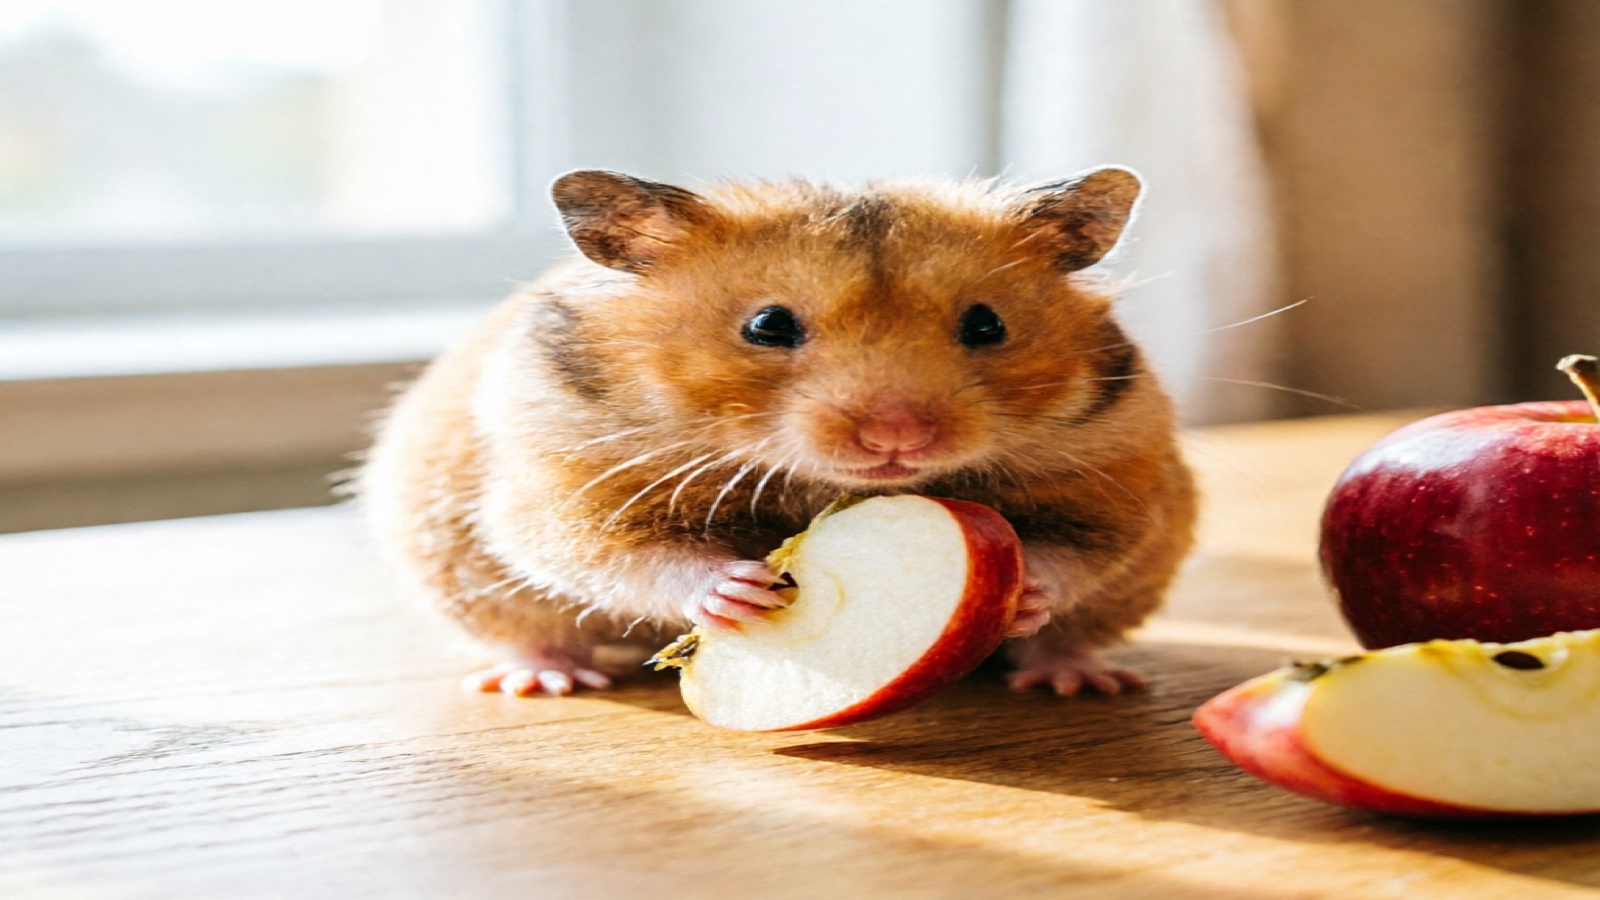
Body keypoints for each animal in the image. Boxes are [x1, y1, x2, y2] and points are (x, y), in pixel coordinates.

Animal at [360, 168, 1196, 698]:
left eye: (987, 325)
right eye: (767, 325)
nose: (897, 437)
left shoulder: (1114, 472)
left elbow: (1076, 550)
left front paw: (1026, 594)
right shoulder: (563, 483)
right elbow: (613, 553)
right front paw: (740, 590)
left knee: (1074, 635)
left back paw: (1079, 679)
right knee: (533, 630)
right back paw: (546, 679)